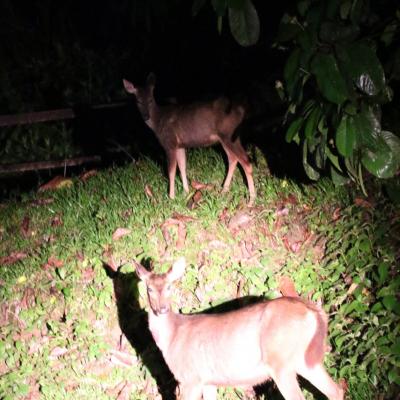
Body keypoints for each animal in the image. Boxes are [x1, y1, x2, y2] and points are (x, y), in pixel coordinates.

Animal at [122, 73, 256, 205]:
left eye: (150, 100)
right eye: (138, 101)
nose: (145, 116)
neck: (158, 122)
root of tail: (241, 111)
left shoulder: (169, 143)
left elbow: (171, 171)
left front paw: (171, 197)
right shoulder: (180, 145)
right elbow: (182, 166)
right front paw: (186, 193)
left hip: (229, 135)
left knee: (246, 161)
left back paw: (251, 200)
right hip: (224, 138)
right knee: (233, 158)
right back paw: (224, 190)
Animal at [134, 258, 344, 398]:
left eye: (170, 287)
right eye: (149, 288)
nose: (162, 309)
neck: (172, 336)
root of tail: (315, 311)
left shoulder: (190, 378)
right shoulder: (208, 380)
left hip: (281, 361)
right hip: (305, 359)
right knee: (336, 390)